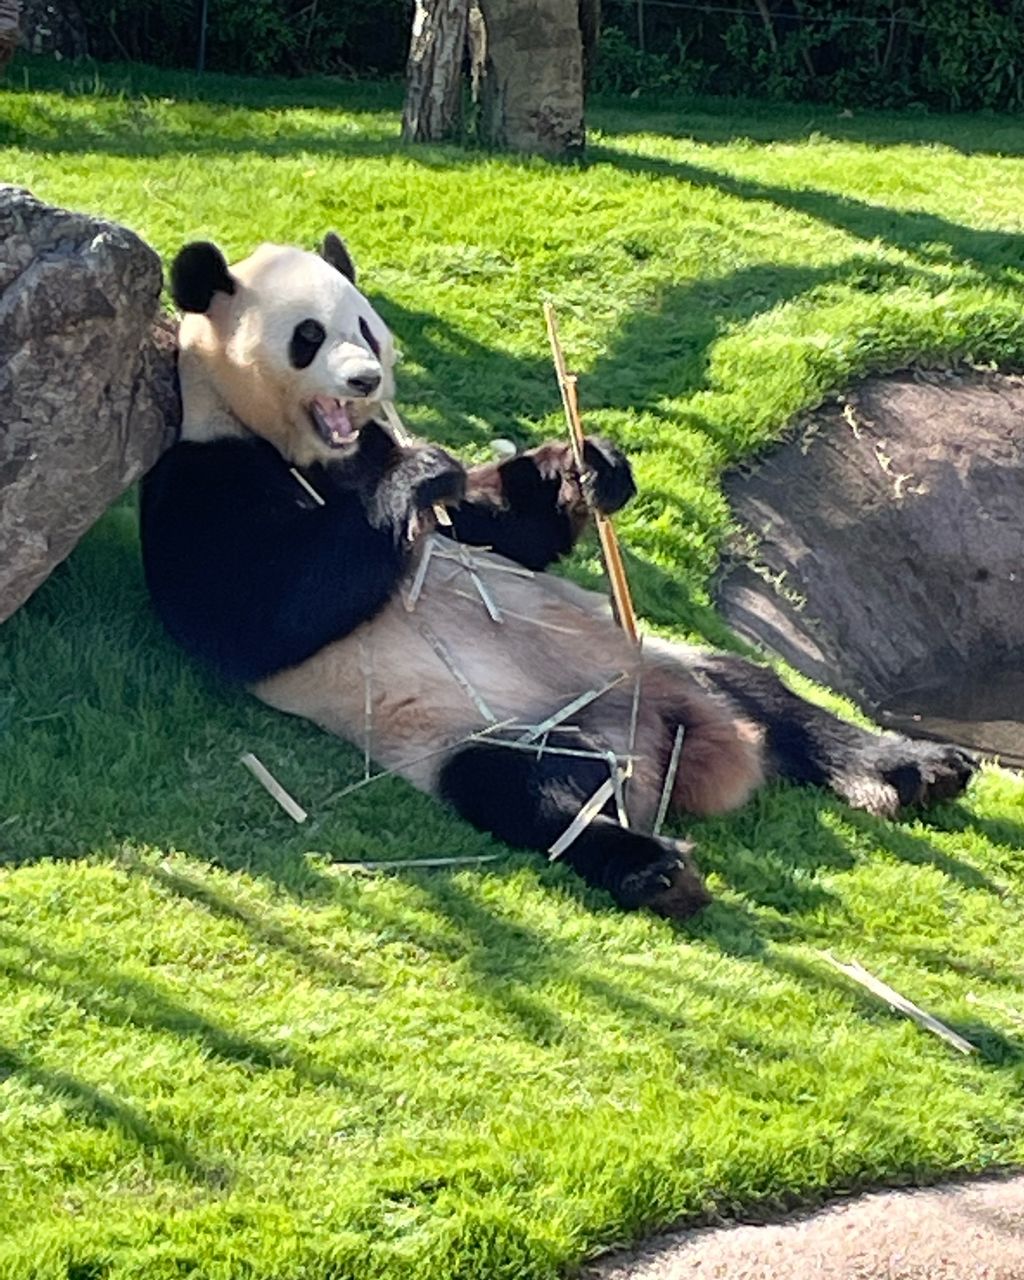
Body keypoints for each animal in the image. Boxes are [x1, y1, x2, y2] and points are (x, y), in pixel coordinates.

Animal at [140, 235, 977, 921]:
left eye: (365, 328)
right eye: (308, 337)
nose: (366, 380)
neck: (318, 456)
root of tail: (669, 740)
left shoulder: (400, 469)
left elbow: (505, 529)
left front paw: (588, 465)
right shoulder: (201, 476)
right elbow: (260, 611)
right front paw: (418, 476)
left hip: (667, 659)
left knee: (770, 696)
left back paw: (911, 767)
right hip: (478, 727)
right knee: (527, 790)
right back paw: (655, 869)